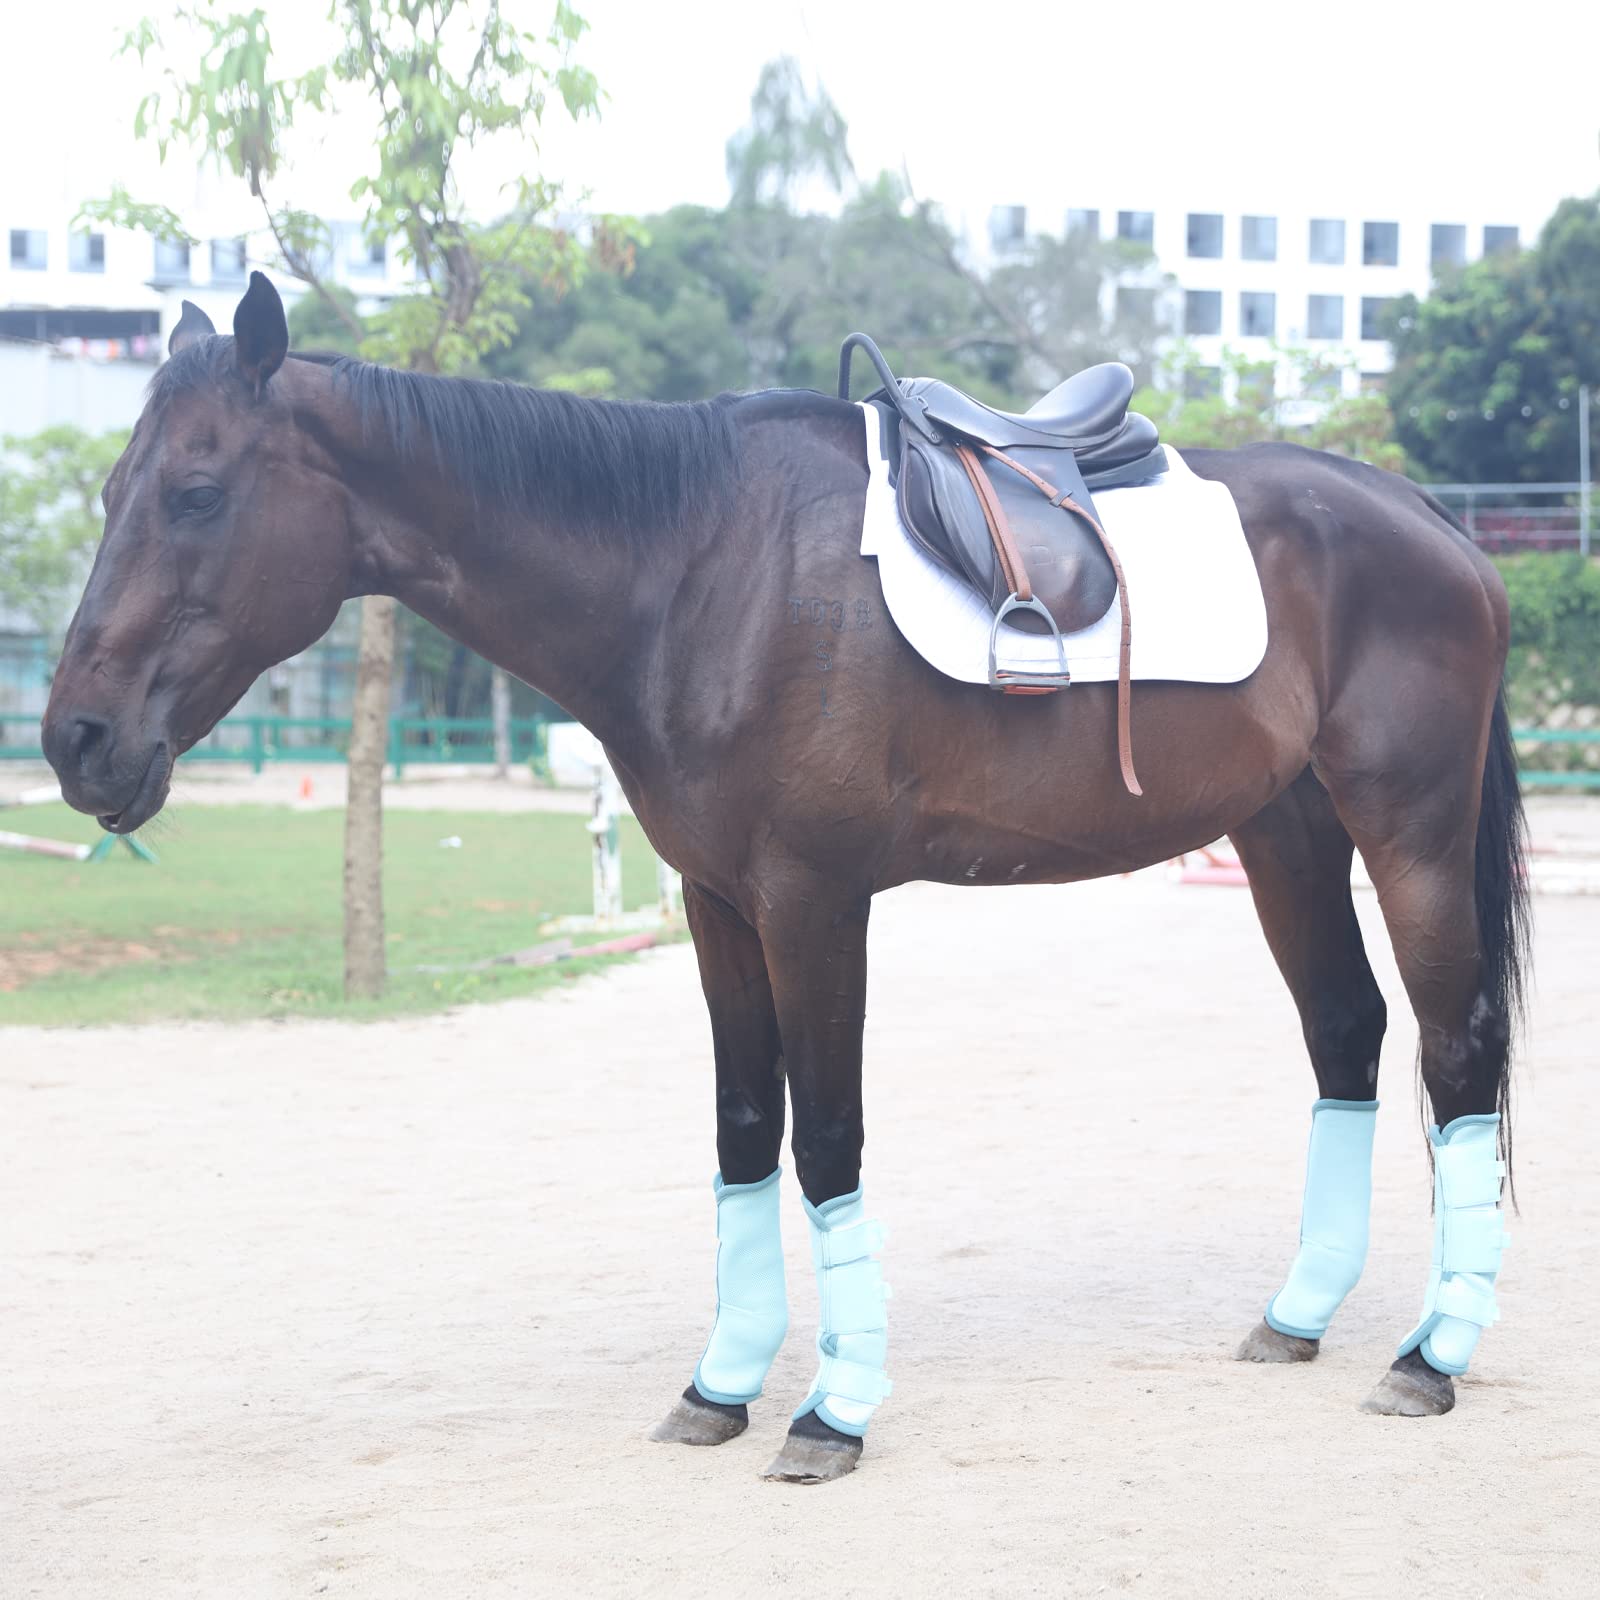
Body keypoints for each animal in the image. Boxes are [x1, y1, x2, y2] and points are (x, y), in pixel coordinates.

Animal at [42, 274, 1528, 1484]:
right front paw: (722, 1385)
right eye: (110, 494)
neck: (696, 571)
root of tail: (1428, 521)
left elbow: (827, 1141)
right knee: (1346, 1033)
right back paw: (1299, 1317)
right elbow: (745, 1131)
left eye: (195, 491)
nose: (75, 741)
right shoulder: (717, 904)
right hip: (1287, 837)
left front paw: (832, 1410)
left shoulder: (816, 901)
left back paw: (1430, 1355)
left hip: (1407, 831)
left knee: (1455, 1050)